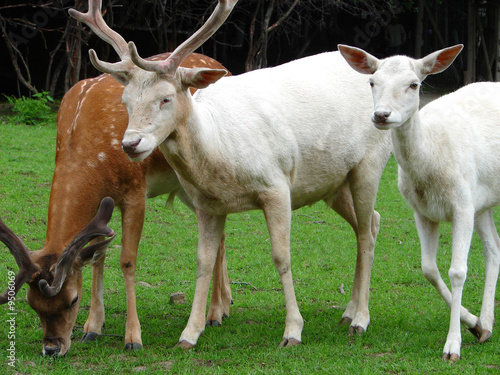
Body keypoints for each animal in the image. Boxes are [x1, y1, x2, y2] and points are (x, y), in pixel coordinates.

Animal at [0, 11, 230, 358]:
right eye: (31, 304)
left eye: (72, 300)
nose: (52, 348)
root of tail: (221, 65)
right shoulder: (101, 203)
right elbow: (98, 256)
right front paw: (92, 327)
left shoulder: (135, 191)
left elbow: (127, 260)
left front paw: (132, 337)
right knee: (222, 231)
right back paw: (225, 305)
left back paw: (215, 313)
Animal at [73, 0, 394, 350]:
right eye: (125, 101)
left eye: (166, 98)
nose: (130, 144)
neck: (221, 152)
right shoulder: (206, 204)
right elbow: (203, 261)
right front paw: (189, 333)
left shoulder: (277, 185)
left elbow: (281, 257)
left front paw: (293, 331)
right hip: (333, 183)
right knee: (372, 221)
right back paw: (348, 312)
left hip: (370, 163)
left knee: (365, 233)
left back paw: (360, 320)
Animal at [338, 44, 500, 364]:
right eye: (372, 82)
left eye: (414, 84)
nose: (382, 115)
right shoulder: (423, 211)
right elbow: (428, 269)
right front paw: (473, 323)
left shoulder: (462, 205)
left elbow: (458, 271)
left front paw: (452, 347)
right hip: (484, 200)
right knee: (494, 248)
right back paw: (487, 325)